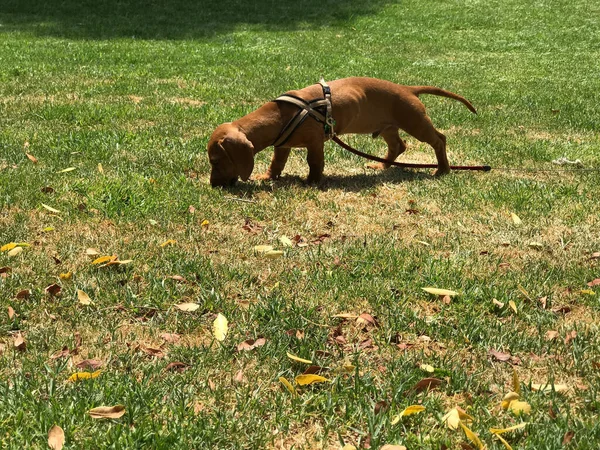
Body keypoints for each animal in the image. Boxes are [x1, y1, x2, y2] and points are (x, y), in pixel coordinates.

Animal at [209, 77, 476, 186]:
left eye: (216, 160)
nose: (214, 186)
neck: (280, 115)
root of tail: (407, 88)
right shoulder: (282, 145)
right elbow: (277, 163)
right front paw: (268, 177)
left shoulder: (315, 142)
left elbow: (314, 162)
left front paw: (312, 181)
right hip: (388, 127)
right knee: (398, 146)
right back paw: (381, 166)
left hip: (414, 121)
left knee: (439, 140)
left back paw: (442, 169)